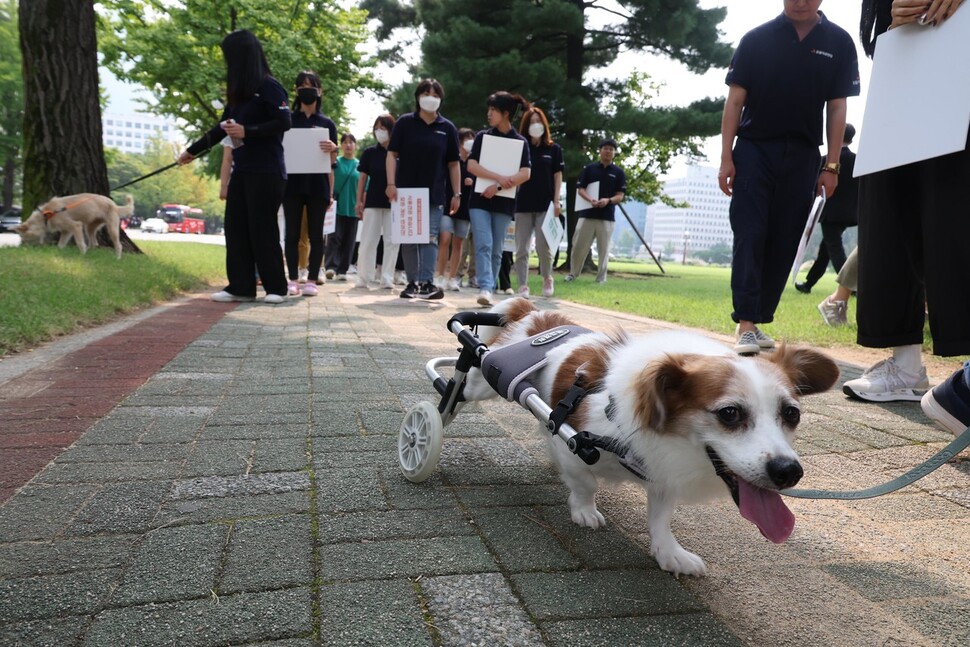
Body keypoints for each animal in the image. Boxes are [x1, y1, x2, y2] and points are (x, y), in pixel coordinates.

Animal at [464, 298, 840, 576]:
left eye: (792, 414)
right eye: (730, 413)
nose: (789, 472)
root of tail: (535, 312)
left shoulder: (661, 473)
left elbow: (660, 517)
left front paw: (669, 552)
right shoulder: (570, 439)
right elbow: (585, 481)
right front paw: (584, 509)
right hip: (487, 382)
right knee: (466, 386)